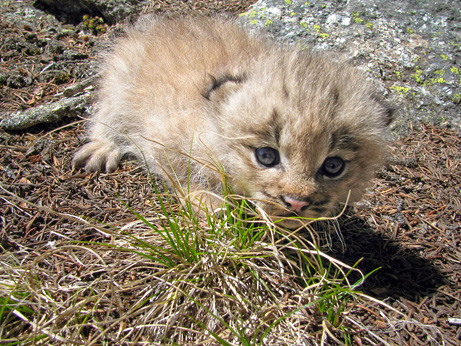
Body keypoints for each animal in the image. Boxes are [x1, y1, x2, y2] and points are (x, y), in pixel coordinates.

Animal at [72, 16, 392, 228]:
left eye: (333, 166)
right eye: (266, 156)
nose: (297, 203)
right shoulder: (164, 136)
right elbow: (185, 174)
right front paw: (210, 204)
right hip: (120, 83)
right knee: (106, 113)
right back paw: (102, 146)